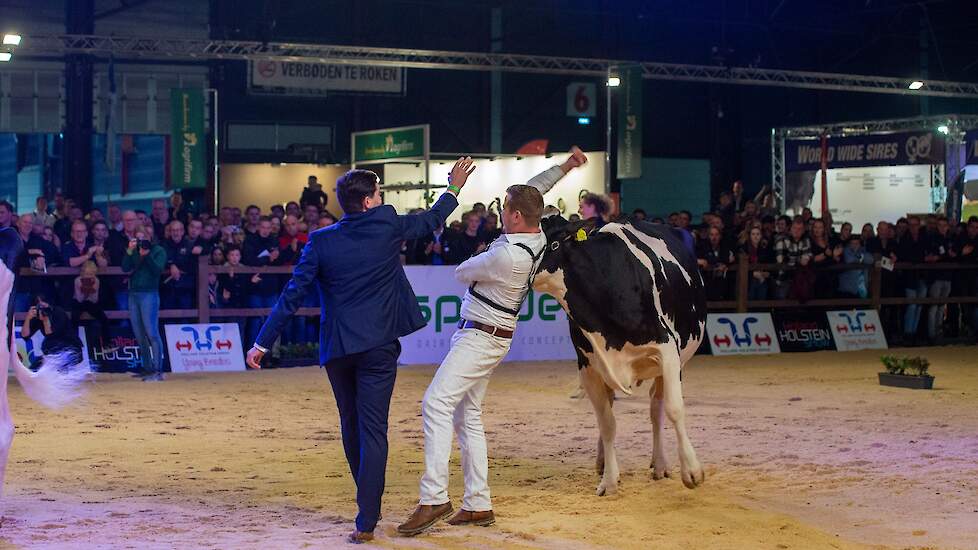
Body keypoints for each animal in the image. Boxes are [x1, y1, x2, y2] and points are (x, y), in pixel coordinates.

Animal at [532, 218, 700, 498]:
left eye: (553, 244)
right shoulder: (588, 367)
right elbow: (607, 423)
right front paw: (609, 480)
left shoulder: (668, 351)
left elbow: (674, 409)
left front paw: (692, 471)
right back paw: (603, 462)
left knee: (656, 408)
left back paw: (660, 464)